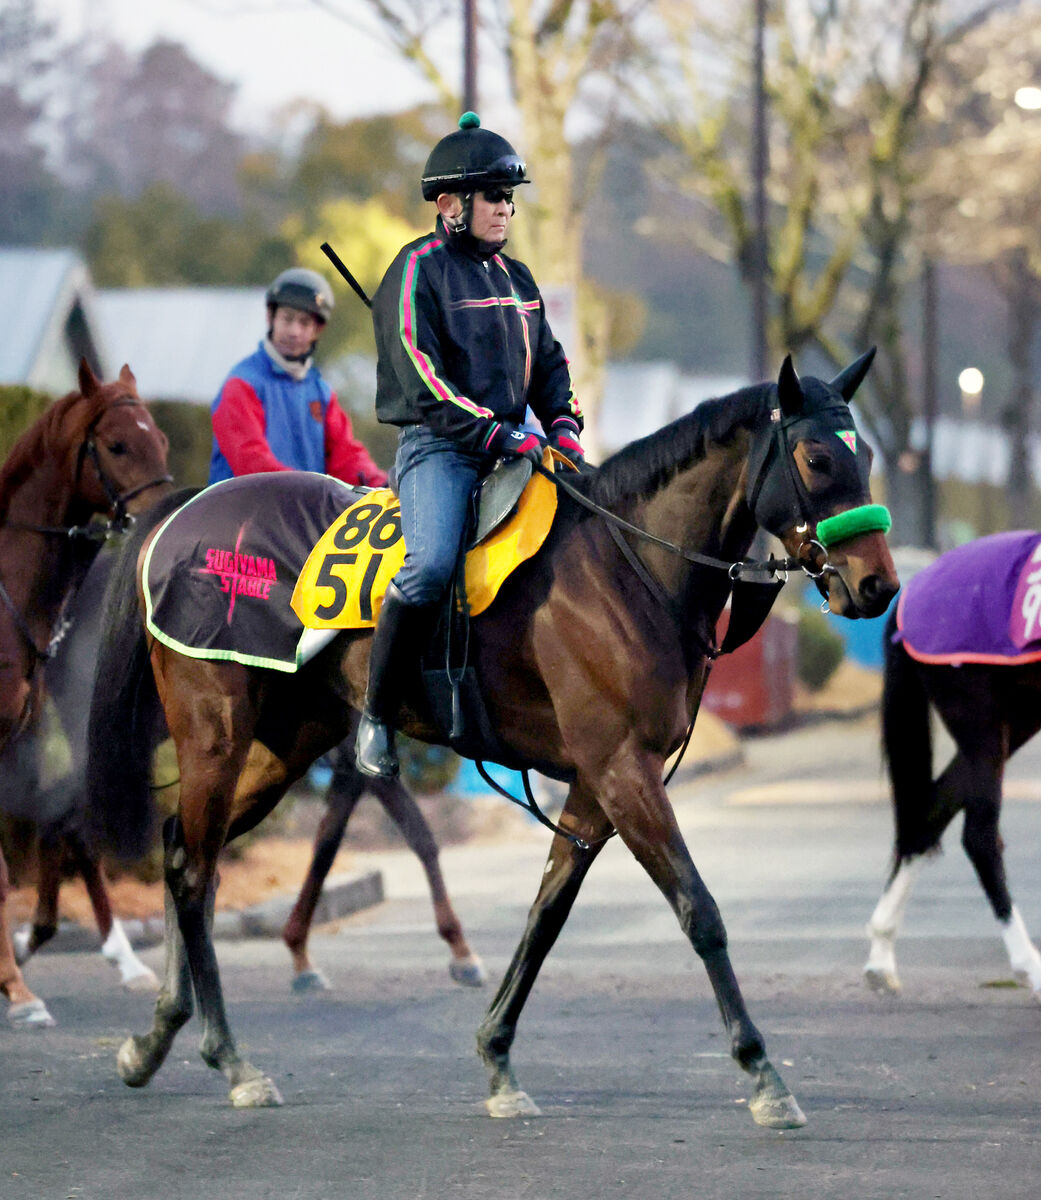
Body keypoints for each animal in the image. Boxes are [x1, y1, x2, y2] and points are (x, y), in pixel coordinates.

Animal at [87, 352, 892, 1123]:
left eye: (868, 455)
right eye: (818, 457)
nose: (878, 585)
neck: (623, 565)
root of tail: (184, 515)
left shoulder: (596, 784)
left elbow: (547, 914)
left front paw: (498, 1057)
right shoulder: (623, 770)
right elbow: (699, 911)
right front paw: (761, 1073)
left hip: (281, 745)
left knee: (180, 849)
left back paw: (155, 1037)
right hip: (216, 733)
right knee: (196, 871)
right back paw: (231, 1060)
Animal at [868, 532, 1041, 993]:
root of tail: (913, 587)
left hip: (1014, 720)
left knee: (930, 812)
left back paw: (881, 955)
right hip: (980, 722)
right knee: (979, 838)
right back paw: (1030, 967)